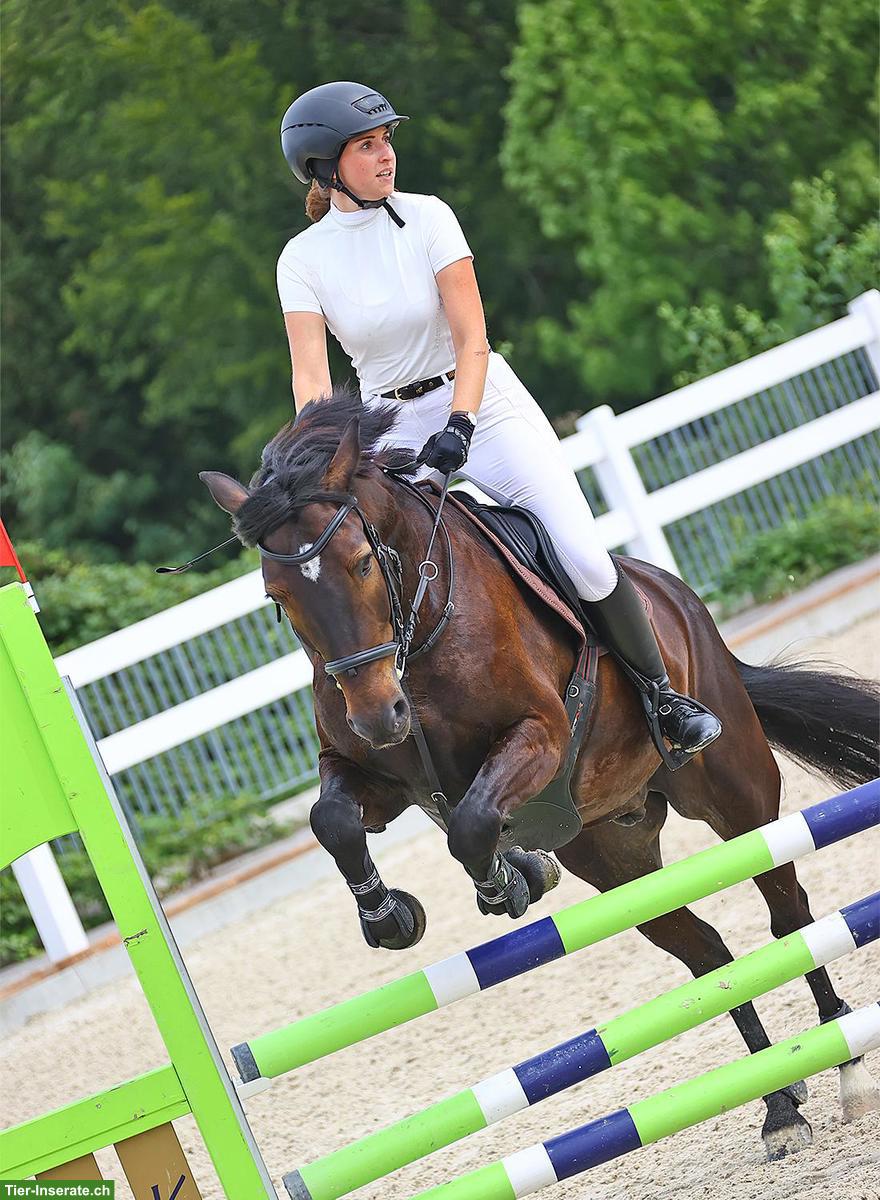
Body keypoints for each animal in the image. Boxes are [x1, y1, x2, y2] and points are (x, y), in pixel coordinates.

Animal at [200, 385, 880, 1160]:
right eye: (277, 596)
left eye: (361, 563)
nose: (378, 716)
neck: (419, 626)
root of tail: (680, 601)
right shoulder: (371, 775)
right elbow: (333, 819)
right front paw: (391, 914)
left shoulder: (538, 739)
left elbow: (470, 824)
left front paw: (507, 881)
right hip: (613, 854)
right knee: (706, 954)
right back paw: (777, 1103)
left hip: (738, 799)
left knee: (787, 911)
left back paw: (846, 1062)